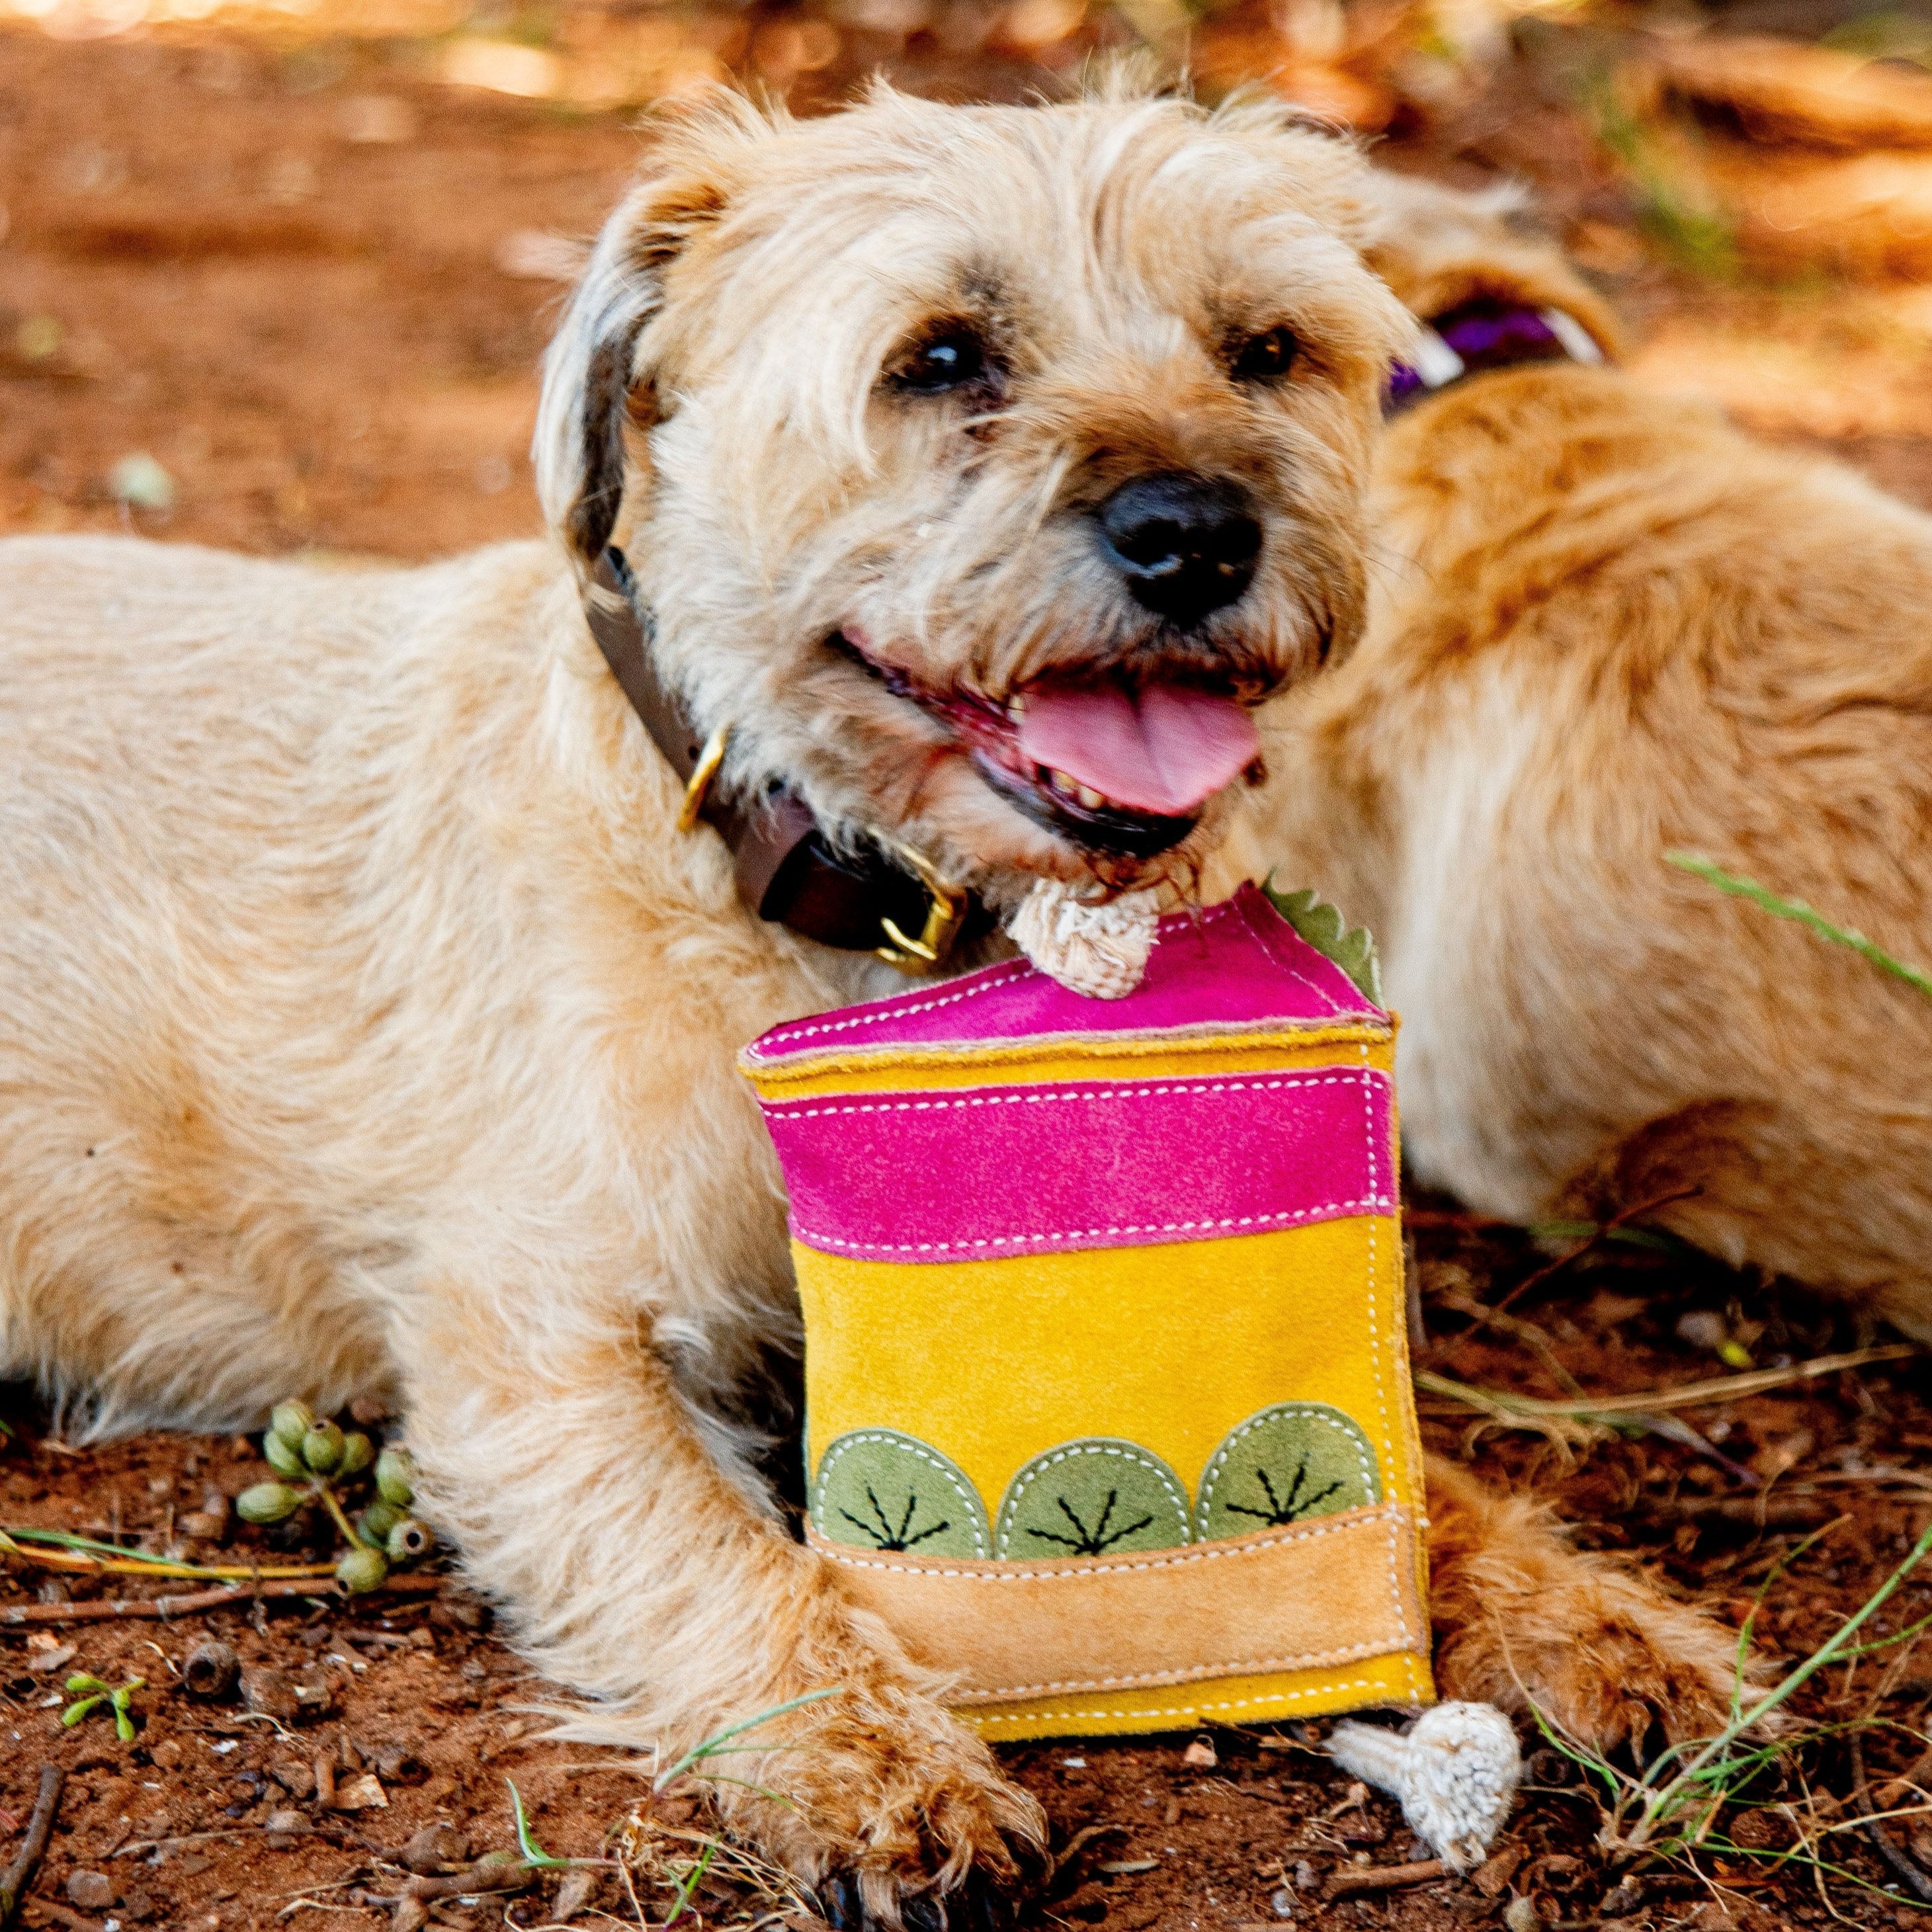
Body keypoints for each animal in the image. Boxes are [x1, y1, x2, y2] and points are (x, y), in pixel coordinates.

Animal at [0, 87, 1746, 1916]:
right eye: (941, 356)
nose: (1198, 528)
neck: (845, 900)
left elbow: (1424, 1480)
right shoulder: (535, 1349)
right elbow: (727, 1568)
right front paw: (877, 1769)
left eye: (1263, 349)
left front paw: (1587, 1615)